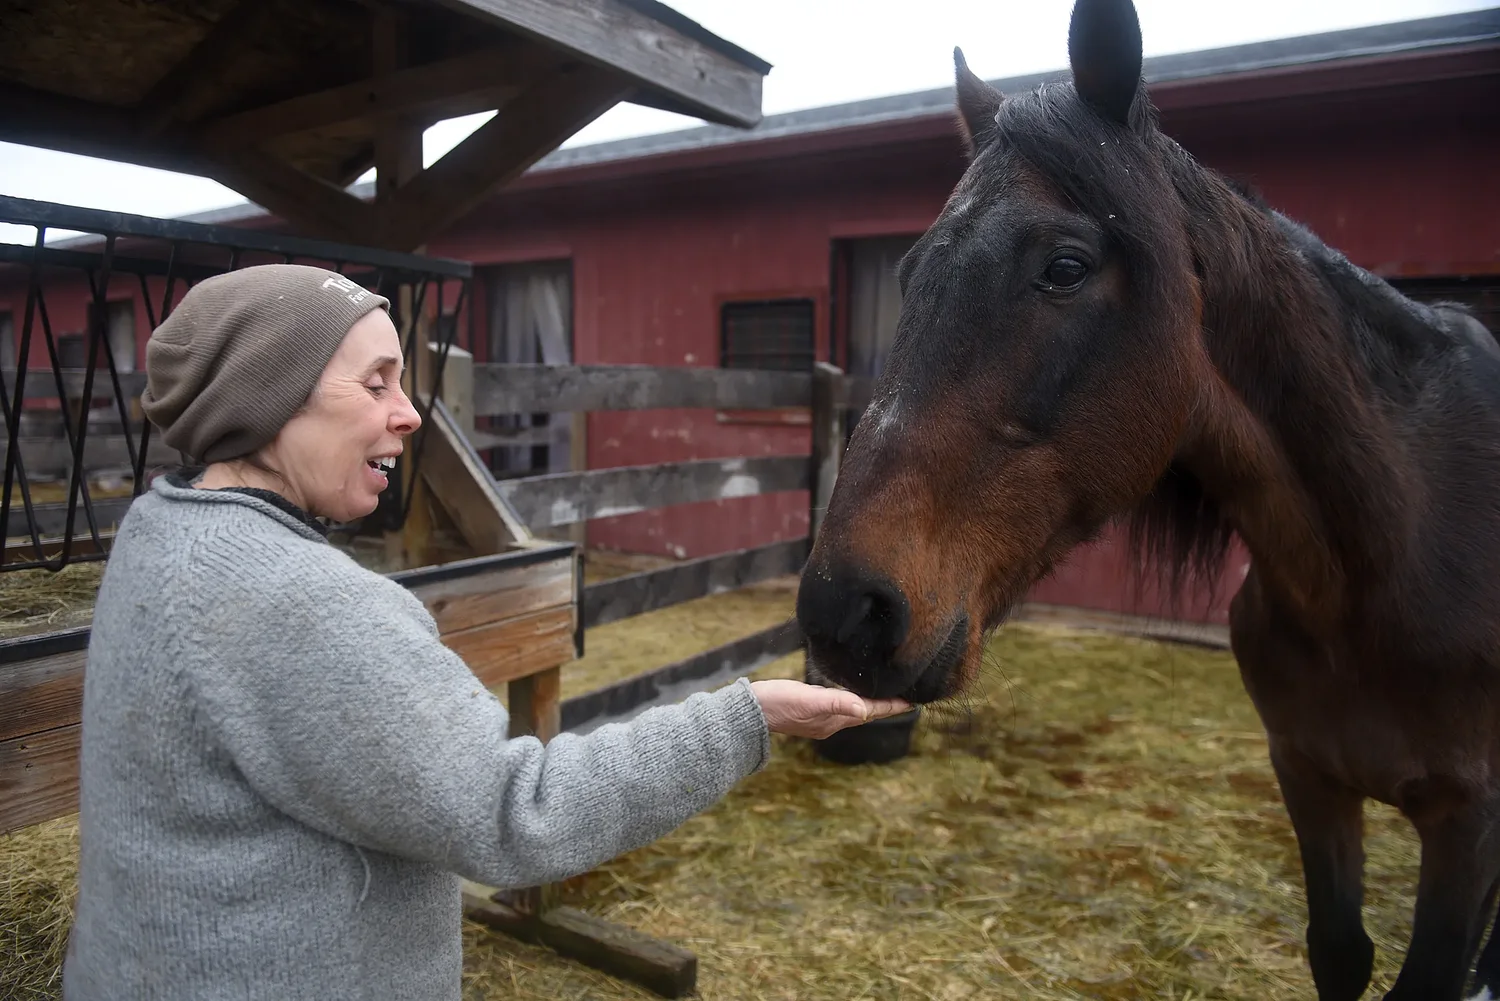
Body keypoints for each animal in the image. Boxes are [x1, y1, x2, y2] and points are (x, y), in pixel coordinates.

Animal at [794, 1, 1500, 998]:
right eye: (911, 273)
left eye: (1065, 265)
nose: (843, 608)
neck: (1388, 554)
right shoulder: (1311, 779)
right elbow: (1340, 951)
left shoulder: (1470, 828)